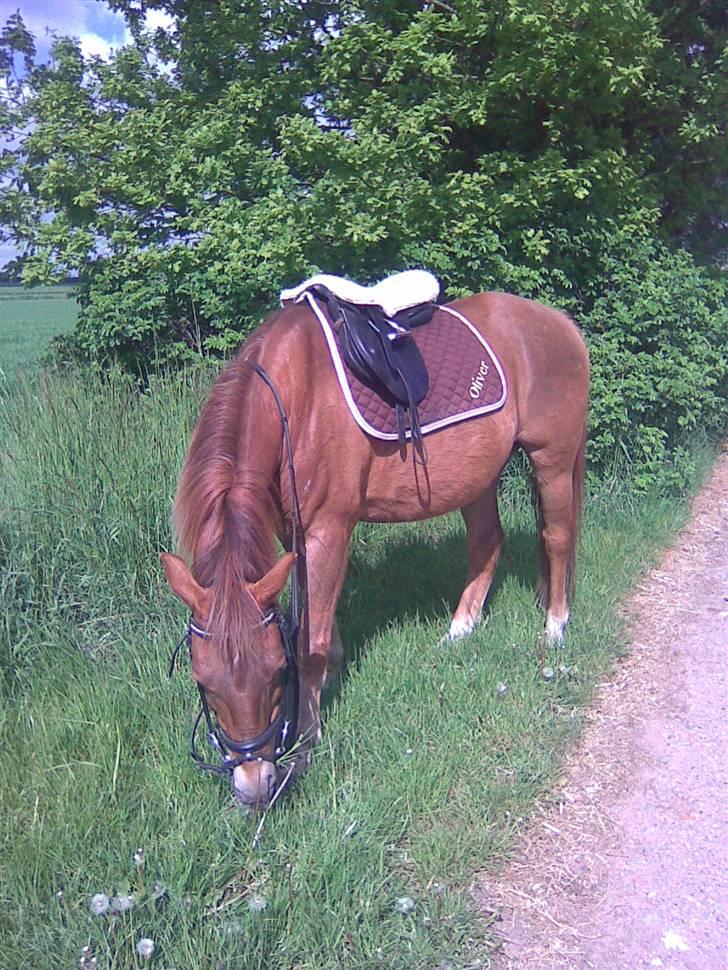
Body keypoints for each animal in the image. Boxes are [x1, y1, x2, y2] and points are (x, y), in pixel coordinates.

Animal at [161, 290, 589, 808]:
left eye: (275, 672)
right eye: (202, 682)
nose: (254, 785)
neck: (294, 399)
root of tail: (559, 322)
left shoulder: (329, 527)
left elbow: (309, 642)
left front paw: (307, 739)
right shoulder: (293, 532)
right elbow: (313, 617)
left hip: (553, 460)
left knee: (557, 539)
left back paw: (555, 628)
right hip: (478, 476)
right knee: (487, 542)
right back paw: (460, 629)